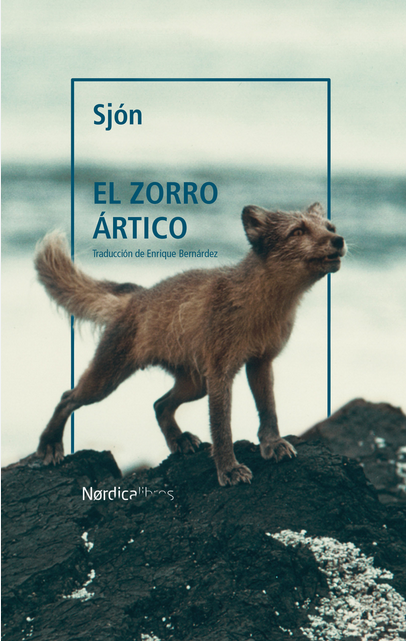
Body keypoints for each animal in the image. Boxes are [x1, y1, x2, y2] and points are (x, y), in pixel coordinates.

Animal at [34, 202, 346, 486]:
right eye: (298, 231)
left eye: (330, 227)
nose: (339, 240)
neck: (261, 306)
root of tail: (137, 295)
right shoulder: (220, 373)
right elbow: (222, 428)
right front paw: (229, 469)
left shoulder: (260, 361)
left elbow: (268, 410)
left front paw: (273, 444)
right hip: (107, 380)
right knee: (67, 397)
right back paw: (49, 445)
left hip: (195, 384)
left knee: (159, 404)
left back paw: (180, 440)